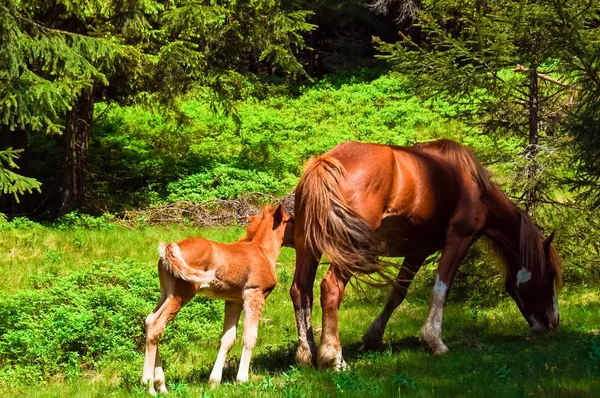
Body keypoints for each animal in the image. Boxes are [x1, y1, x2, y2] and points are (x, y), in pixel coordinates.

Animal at [141, 205, 290, 394]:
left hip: (166, 293)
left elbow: (228, 339)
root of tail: (169, 248)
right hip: (181, 294)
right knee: (156, 326)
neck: (262, 251)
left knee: (149, 320)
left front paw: (214, 382)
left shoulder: (233, 301)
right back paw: (148, 386)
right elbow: (249, 337)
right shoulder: (254, 295)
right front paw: (242, 380)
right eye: (291, 219)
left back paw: (161, 385)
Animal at [292, 140, 564, 370]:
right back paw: (334, 357)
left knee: (300, 291)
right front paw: (434, 341)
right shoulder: (459, 238)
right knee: (330, 288)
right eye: (549, 274)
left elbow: (398, 293)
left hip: (308, 246)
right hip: (350, 249)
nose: (552, 322)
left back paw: (307, 354)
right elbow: (441, 287)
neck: (473, 185)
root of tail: (326, 162)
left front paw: (373, 338)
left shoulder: (418, 250)